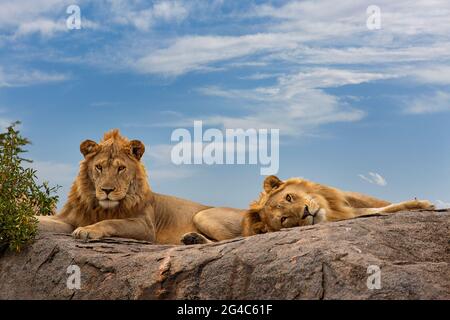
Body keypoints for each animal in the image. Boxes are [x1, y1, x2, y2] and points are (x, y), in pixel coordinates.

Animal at [37, 130, 244, 245]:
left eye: (121, 168)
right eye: (99, 167)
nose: (107, 190)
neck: (99, 207)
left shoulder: (145, 226)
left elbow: (112, 222)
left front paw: (88, 230)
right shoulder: (66, 219)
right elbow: (41, 220)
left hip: (203, 215)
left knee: (236, 239)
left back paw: (194, 239)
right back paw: (192, 239)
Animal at [243, 174, 436, 236]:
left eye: (289, 197)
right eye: (284, 219)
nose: (306, 212)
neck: (331, 207)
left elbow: (380, 204)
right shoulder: (350, 213)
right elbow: (382, 208)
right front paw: (420, 203)